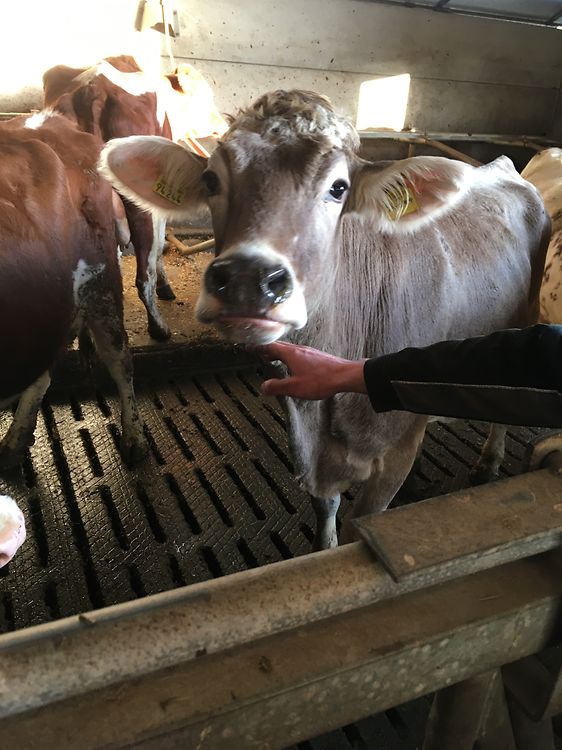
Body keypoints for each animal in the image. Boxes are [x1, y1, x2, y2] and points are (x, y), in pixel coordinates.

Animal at [43, 55, 226, 341]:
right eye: (206, 96)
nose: (224, 122)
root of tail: (92, 89)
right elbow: (159, 243)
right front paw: (165, 286)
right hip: (137, 204)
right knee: (143, 273)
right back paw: (158, 327)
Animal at [99, 90, 550, 549]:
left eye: (338, 188)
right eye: (210, 180)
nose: (248, 278)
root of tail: (501, 165)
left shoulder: (393, 456)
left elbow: (359, 524)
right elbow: (325, 508)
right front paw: (323, 544)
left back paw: (489, 461)